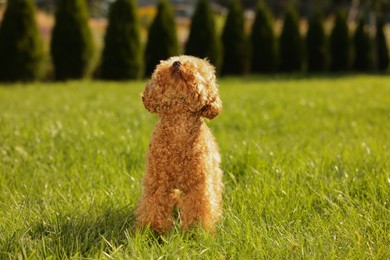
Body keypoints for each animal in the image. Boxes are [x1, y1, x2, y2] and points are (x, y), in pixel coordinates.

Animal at [136, 54, 224, 234]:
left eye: (198, 70)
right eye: (170, 60)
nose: (177, 63)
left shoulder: (198, 184)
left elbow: (199, 207)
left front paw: (195, 231)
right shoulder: (158, 181)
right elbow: (153, 204)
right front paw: (153, 231)